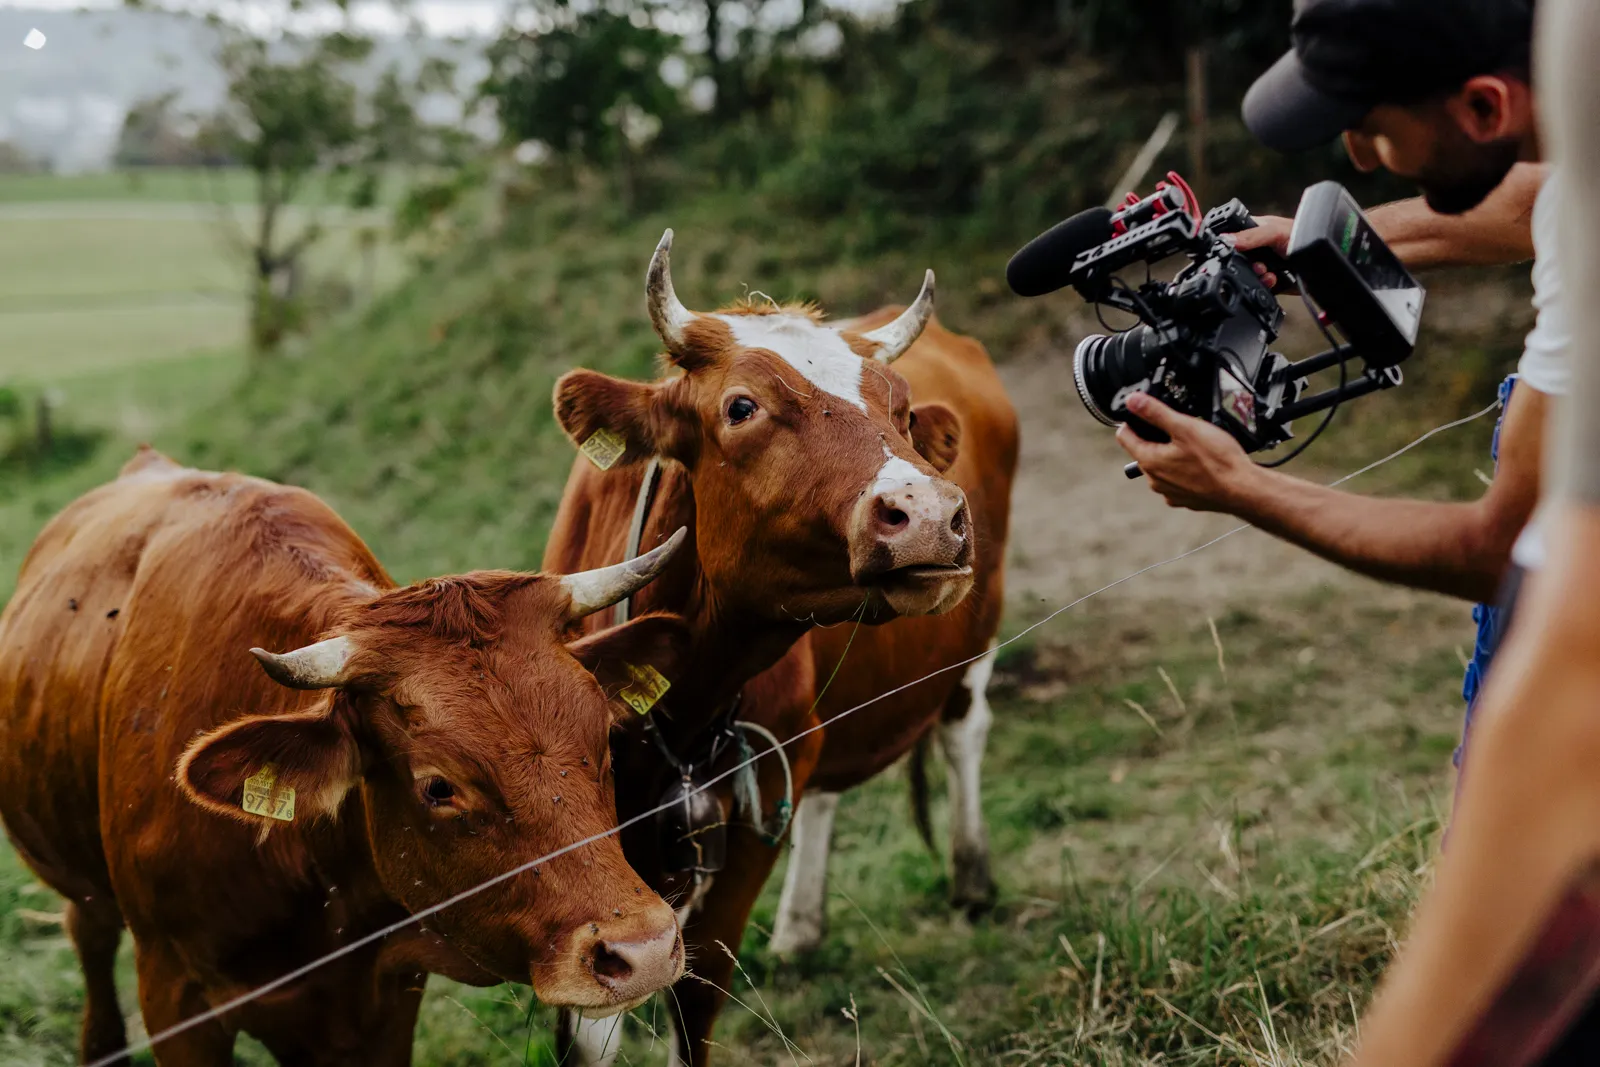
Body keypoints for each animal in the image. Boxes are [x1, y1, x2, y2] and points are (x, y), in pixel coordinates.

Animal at [3, 451, 694, 1067]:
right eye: (438, 787)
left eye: (604, 741)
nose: (645, 951)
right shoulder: (175, 994)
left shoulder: (387, 997)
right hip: (76, 880)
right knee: (90, 939)